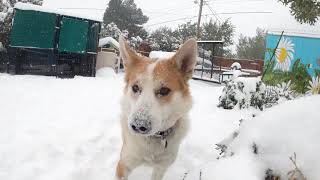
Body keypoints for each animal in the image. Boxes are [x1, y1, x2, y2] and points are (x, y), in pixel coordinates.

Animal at [116, 36, 196, 180]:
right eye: (135, 87)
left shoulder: (161, 168)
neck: (155, 137)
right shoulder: (123, 165)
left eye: (164, 90)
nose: (138, 125)